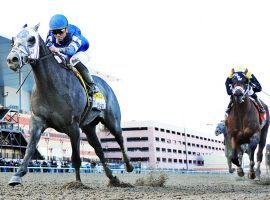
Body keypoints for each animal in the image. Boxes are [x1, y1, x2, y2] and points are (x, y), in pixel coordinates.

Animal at [6, 23, 133, 186]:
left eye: (31, 39)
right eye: (13, 40)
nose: (12, 59)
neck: (51, 86)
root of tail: (107, 85)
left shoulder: (73, 126)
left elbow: (76, 158)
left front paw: (78, 184)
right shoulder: (37, 120)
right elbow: (30, 149)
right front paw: (17, 175)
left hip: (112, 121)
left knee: (120, 139)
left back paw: (128, 165)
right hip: (89, 127)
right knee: (99, 150)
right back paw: (112, 178)